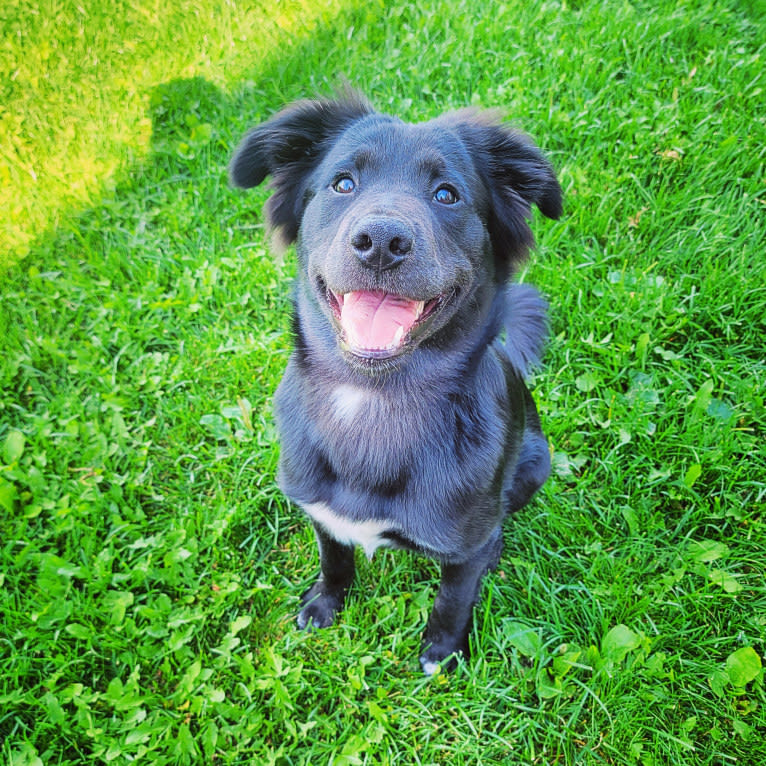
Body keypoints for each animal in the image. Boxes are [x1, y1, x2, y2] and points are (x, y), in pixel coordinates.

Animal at [230, 90, 564, 676]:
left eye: (447, 194)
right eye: (343, 183)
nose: (382, 241)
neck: (371, 398)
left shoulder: (462, 547)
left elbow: (453, 597)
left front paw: (442, 652)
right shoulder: (320, 511)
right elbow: (335, 559)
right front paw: (324, 603)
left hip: (535, 462)